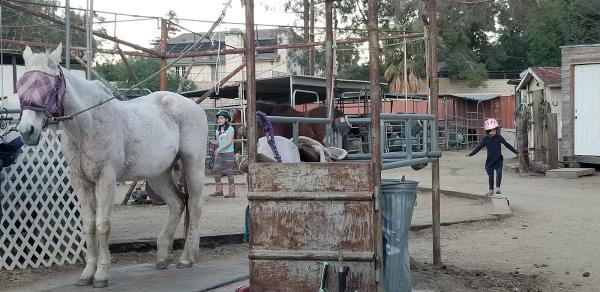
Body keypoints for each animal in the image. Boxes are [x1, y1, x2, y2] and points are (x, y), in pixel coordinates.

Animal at [16, 45, 209, 288]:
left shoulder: (105, 179)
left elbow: (102, 225)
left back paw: (186, 258)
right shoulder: (81, 182)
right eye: (22, 84)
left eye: (49, 85)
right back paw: (163, 257)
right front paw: (87, 274)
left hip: (193, 166)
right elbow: (89, 226)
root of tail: (191, 105)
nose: (27, 131)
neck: (87, 125)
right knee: (177, 204)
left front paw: (101, 274)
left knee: (194, 205)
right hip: (158, 175)